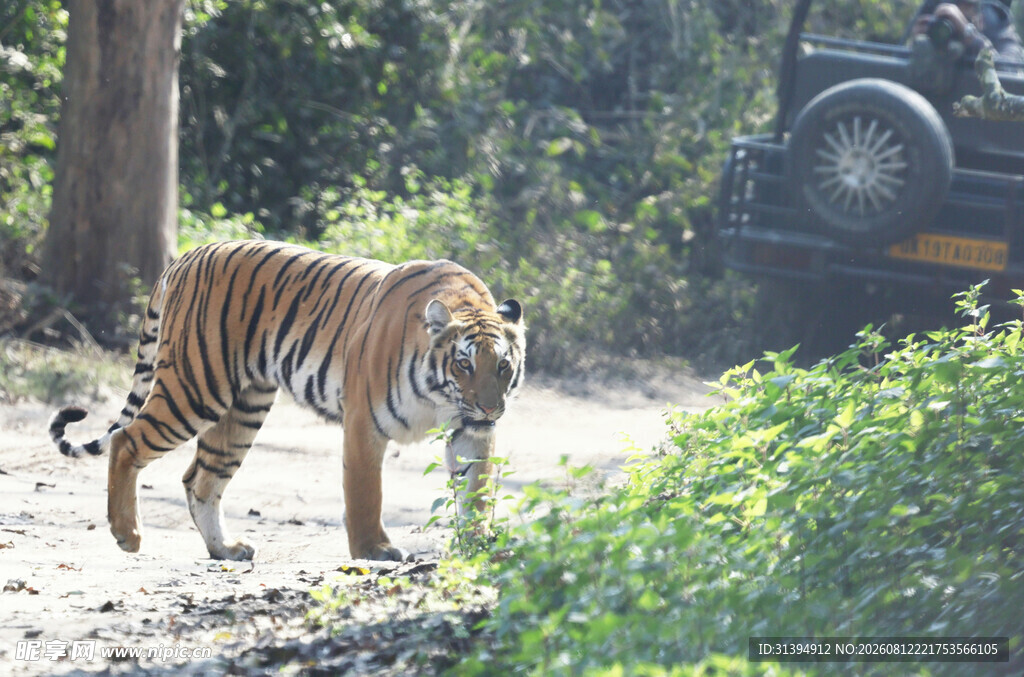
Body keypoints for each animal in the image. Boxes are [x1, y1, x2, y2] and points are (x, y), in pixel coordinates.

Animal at [48, 239, 526, 561]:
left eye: (503, 365)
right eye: (463, 364)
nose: (489, 409)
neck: (440, 398)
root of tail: (187, 255)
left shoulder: (470, 431)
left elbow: (477, 491)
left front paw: (479, 545)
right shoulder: (364, 422)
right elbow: (365, 491)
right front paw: (374, 550)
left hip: (242, 408)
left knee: (200, 479)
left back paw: (226, 549)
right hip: (195, 387)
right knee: (126, 440)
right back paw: (127, 534)